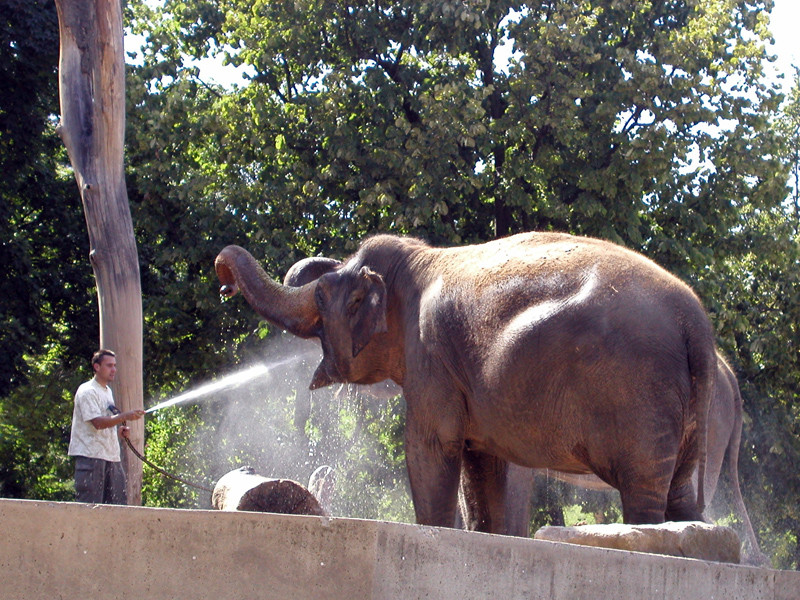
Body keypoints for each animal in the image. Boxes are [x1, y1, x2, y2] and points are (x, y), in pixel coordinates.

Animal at [214, 232, 720, 528]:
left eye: (320, 294)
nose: (223, 281)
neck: (419, 258)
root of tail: (695, 321)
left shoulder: (431, 359)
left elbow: (430, 446)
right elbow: (484, 465)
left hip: (636, 397)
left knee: (644, 495)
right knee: (682, 498)